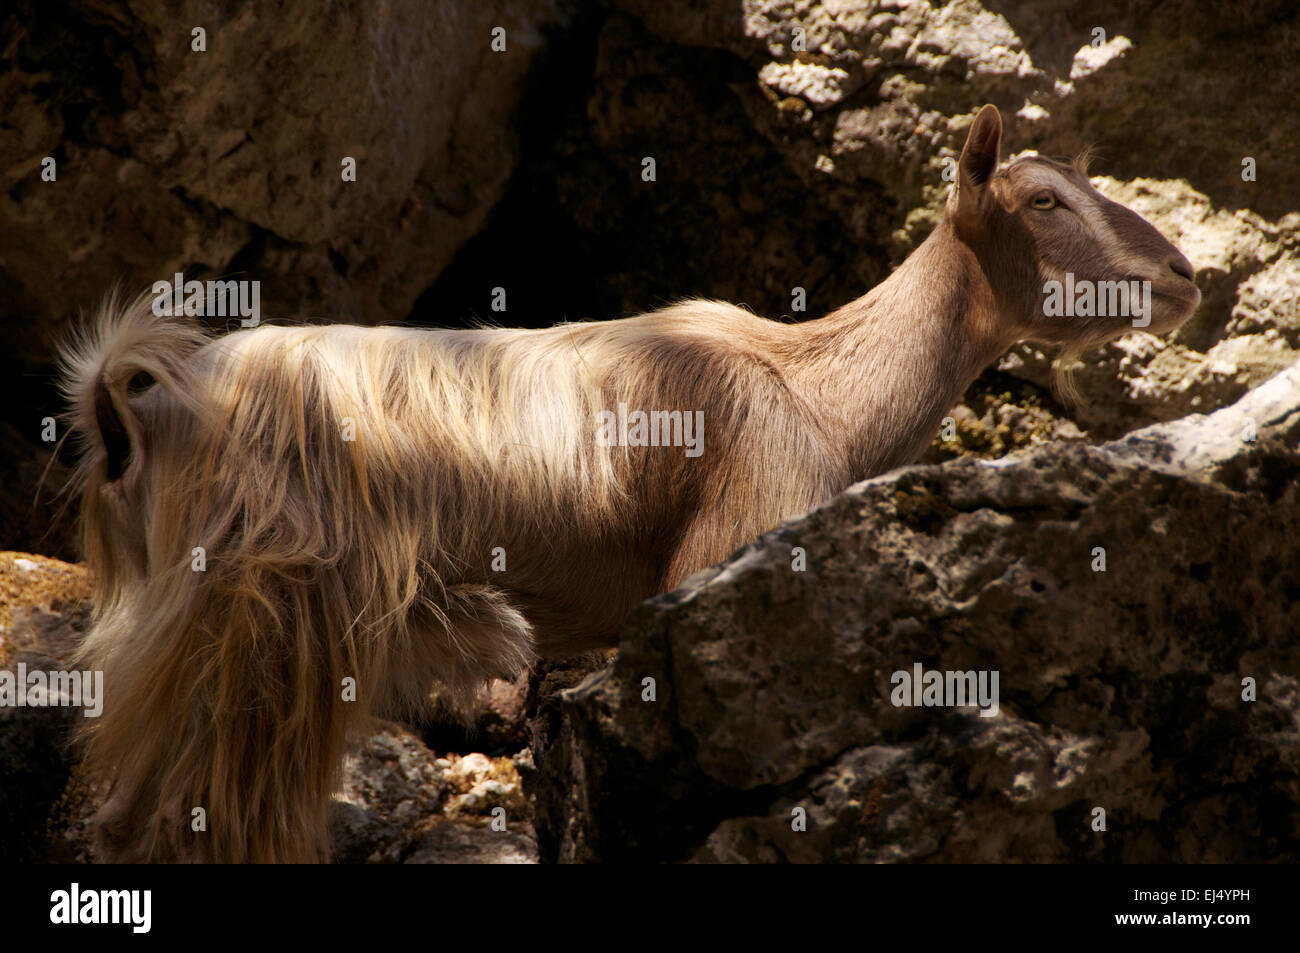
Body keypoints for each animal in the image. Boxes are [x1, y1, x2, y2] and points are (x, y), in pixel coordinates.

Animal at [58, 105, 1196, 863]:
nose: (1184, 276)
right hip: (261, 621)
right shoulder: (725, 546)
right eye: (1042, 199)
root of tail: (139, 407)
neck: (814, 388)